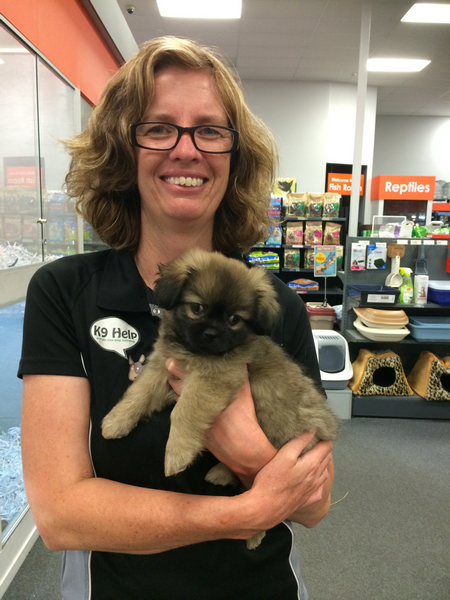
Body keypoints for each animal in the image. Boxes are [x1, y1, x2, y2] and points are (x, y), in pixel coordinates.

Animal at [102, 248, 338, 548]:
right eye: (197, 308)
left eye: (234, 319)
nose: (211, 334)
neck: (195, 353)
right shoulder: (161, 368)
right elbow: (138, 393)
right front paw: (115, 422)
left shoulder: (210, 380)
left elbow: (183, 413)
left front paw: (176, 453)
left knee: (268, 498)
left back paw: (252, 529)